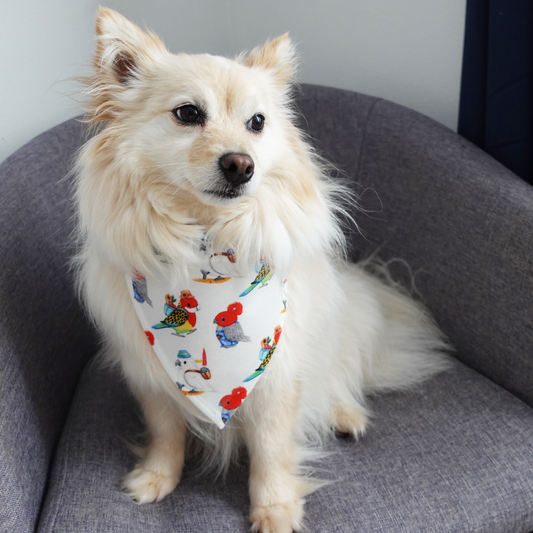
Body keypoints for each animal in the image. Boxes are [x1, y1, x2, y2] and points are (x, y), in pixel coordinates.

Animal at [75, 8, 448, 532]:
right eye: (188, 114)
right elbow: (166, 431)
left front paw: (275, 508)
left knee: (342, 371)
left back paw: (345, 414)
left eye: (257, 123)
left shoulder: (278, 379)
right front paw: (156, 477)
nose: (240, 164)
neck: (208, 241)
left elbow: (271, 450)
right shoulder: (151, 378)